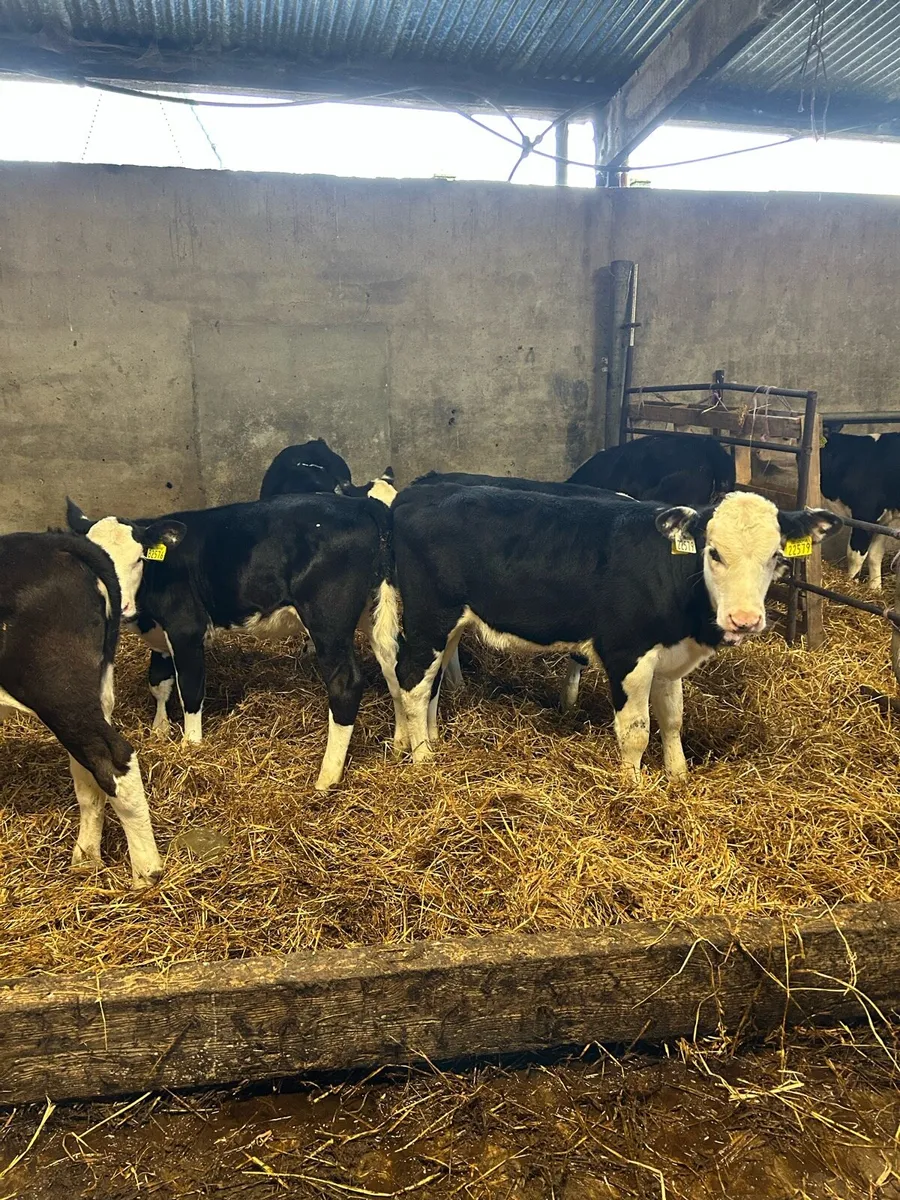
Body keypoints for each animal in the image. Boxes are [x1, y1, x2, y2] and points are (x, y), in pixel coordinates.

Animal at [0, 514, 184, 886]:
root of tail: (59, 545)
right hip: (94, 692)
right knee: (88, 771)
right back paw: (87, 858)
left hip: (56, 688)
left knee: (114, 760)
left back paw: (146, 873)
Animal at [67, 494, 392, 792]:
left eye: (139, 559)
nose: (119, 604)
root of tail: (359, 503)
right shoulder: (160, 638)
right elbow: (158, 683)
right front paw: (160, 729)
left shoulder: (186, 630)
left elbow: (190, 690)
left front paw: (190, 745)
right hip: (374, 609)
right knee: (391, 663)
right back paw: (403, 745)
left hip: (328, 620)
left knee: (345, 684)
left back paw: (327, 778)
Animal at [370, 486, 839, 778]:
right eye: (714, 552)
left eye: (776, 555)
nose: (744, 620)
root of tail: (414, 495)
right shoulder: (626, 653)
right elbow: (636, 730)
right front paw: (633, 787)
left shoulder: (667, 658)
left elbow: (673, 719)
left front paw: (679, 776)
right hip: (431, 616)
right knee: (412, 681)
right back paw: (424, 759)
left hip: (448, 624)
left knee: (429, 682)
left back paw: (429, 740)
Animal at [820, 431, 900, 592]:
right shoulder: (878, 519)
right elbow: (871, 555)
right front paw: (873, 588)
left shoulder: (868, 515)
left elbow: (859, 554)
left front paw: (852, 585)